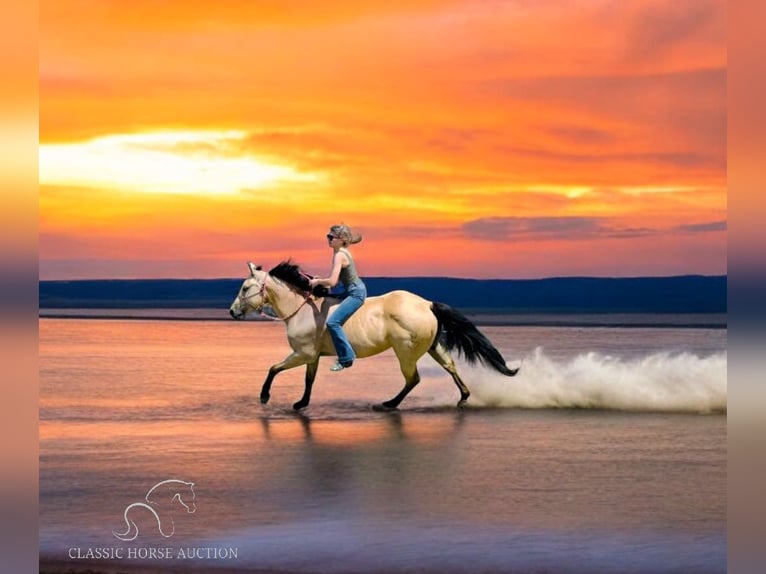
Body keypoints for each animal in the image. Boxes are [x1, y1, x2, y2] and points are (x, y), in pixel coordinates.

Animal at [230, 264, 520, 412]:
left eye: (245, 288)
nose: (232, 312)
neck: (302, 310)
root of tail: (427, 304)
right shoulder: (312, 356)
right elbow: (308, 380)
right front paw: (301, 403)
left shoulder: (302, 353)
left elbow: (273, 368)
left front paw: (264, 397)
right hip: (433, 347)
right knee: (450, 366)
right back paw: (463, 398)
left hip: (405, 353)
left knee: (413, 379)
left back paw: (388, 404)